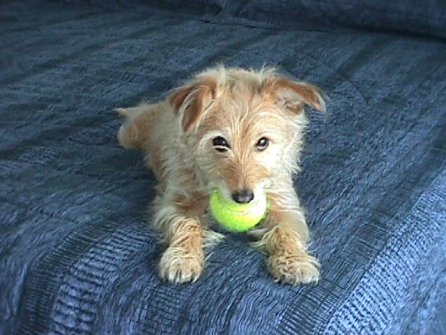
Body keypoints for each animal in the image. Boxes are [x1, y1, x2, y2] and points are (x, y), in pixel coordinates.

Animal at [116, 66, 326, 286]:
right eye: (219, 142)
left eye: (263, 142)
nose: (244, 198)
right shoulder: (176, 202)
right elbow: (186, 224)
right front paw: (182, 258)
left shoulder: (283, 203)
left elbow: (286, 230)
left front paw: (295, 261)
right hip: (129, 135)